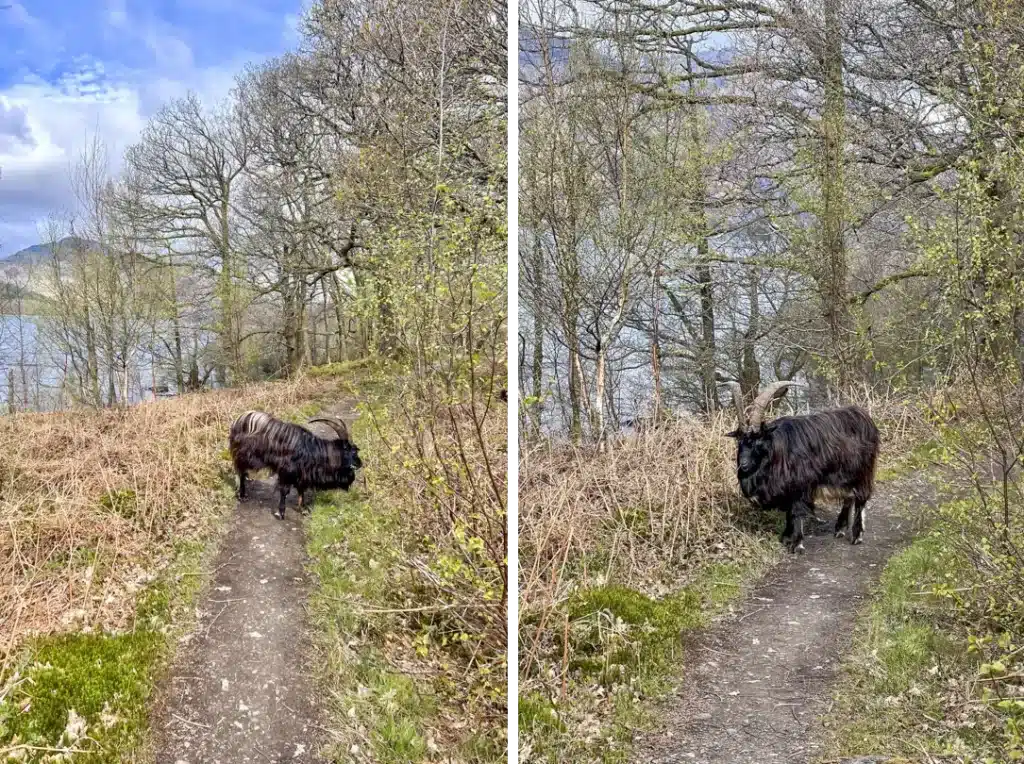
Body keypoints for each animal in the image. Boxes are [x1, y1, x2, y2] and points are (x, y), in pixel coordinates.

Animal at [229, 411, 364, 518]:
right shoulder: (286, 472)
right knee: (241, 473)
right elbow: (284, 491)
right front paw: (281, 513)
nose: (360, 464)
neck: (314, 451)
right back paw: (242, 495)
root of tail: (239, 421)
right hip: (244, 457)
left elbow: (301, 490)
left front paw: (303, 509)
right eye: (352, 451)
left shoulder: (302, 474)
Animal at [720, 380, 880, 553]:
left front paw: (796, 544)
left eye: (758, 440)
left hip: (863, 471)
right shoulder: (787, 490)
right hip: (844, 475)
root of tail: (864, 417)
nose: (743, 465)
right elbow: (788, 514)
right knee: (849, 497)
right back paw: (840, 529)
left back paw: (856, 535)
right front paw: (785, 537)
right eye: (739, 441)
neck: (777, 452)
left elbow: (795, 512)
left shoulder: (800, 486)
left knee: (860, 498)